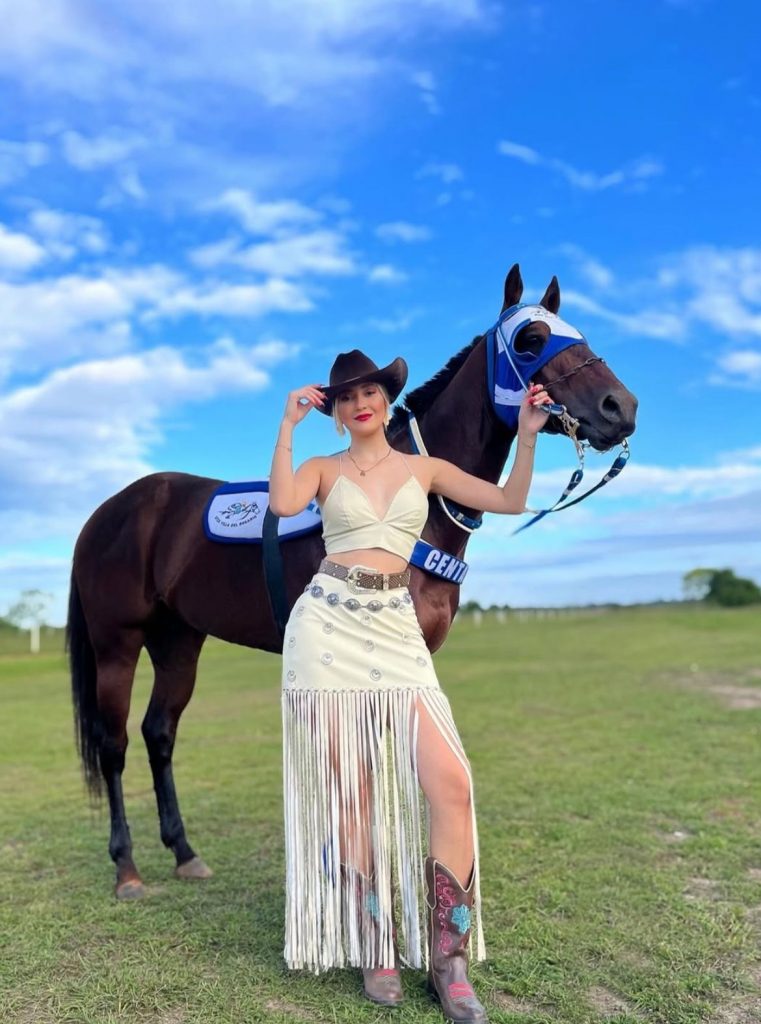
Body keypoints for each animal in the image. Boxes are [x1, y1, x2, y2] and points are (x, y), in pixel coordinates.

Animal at [67, 263, 638, 899]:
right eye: (531, 340)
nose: (620, 406)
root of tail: (110, 511)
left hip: (178, 642)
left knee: (158, 733)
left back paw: (184, 852)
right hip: (118, 644)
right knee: (114, 745)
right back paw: (127, 868)